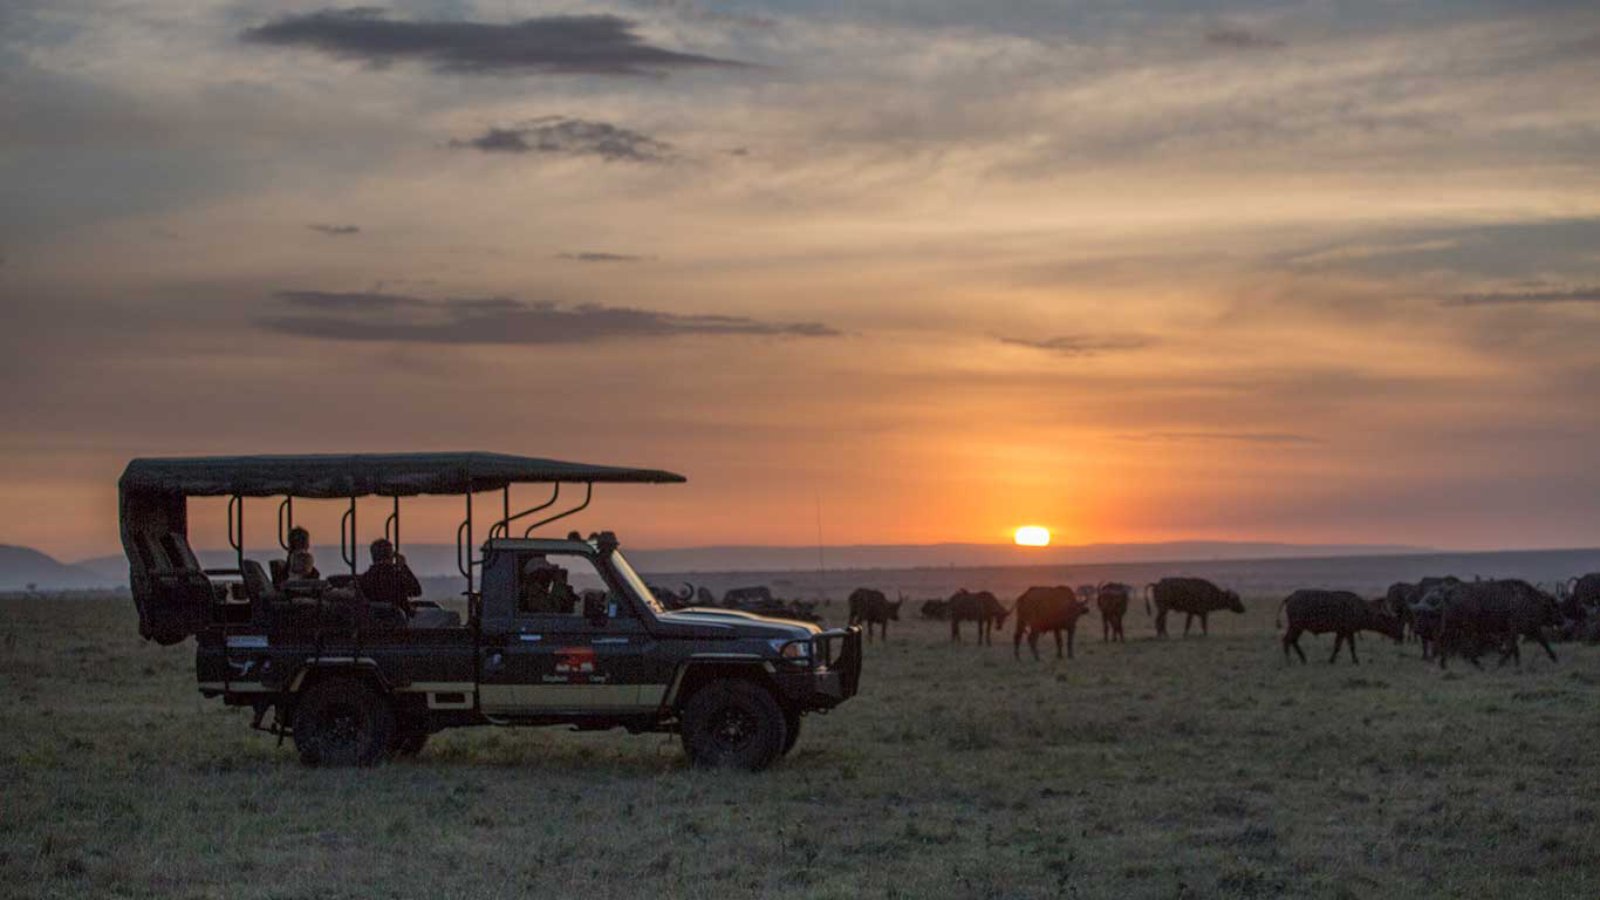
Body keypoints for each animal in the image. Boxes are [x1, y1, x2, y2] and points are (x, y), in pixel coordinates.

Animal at [1273, 586, 1401, 662]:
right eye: (1393, 623)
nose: (1401, 636)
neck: (1359, 608)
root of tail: (1291, 597)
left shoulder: (1343, 632)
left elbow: (1340, 646)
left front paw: (1333, 660)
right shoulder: (1347, 631)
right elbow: (1349, 646)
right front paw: (1355, 661)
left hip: (1298, 627)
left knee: (1293, 640)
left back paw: (1303, 659)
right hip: (1296, 626)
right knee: (1287, 640)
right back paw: (1289, 661)